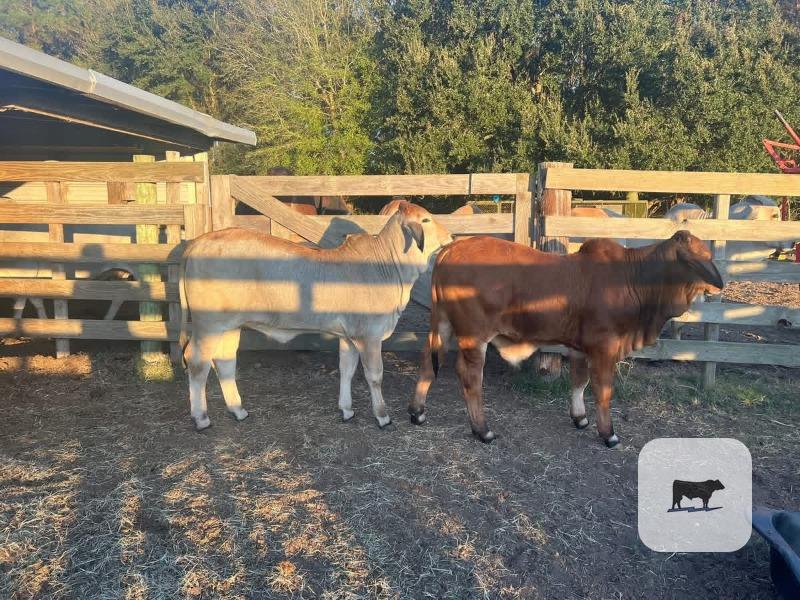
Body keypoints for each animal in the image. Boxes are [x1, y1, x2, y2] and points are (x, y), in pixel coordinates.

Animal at [179, 201, 452, 431]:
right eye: (425, 220)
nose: (450, 236)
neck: (386, 266)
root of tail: (196, 243)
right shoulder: (369, 336)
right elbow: (374, 376)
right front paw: (383, 416)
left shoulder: (348, 337)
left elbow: (346, 369)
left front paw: (346, 410)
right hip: (208, 325)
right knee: (197, 362)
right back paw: (201, 418)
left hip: (230, 325)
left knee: (224, 361)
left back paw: (238, 410)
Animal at [408, 231, 723, 447]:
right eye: (701, 257)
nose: (719, 285)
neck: (633, 278)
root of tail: (451, 249)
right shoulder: (604, 347)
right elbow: (603, 391)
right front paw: (608, 434)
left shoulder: (581, 348)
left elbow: (579, 382)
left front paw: (580, 417)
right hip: (474, 336)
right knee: (470, 377)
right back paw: (482, 429)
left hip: (442, 326)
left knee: (427, 363)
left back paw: (417, 412)